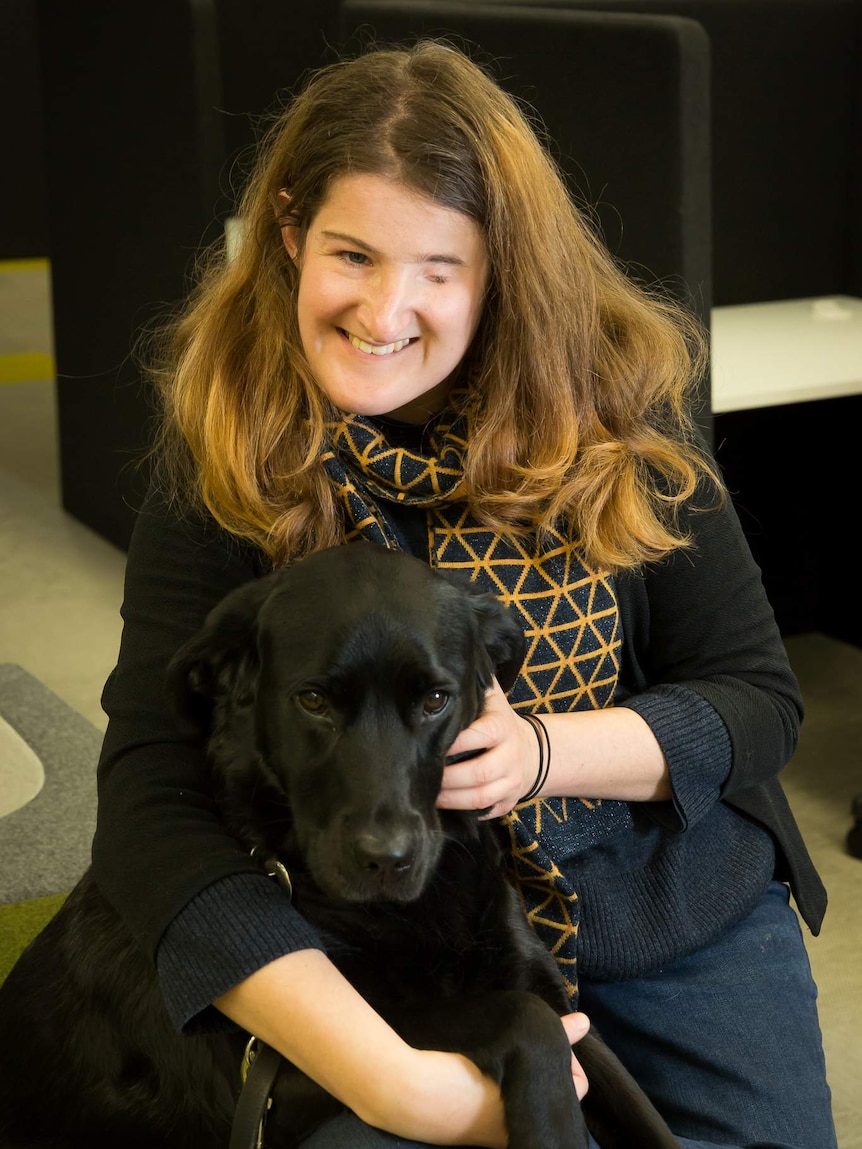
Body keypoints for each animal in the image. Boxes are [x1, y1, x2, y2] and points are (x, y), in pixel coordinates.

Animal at [0, 542, 680, 1144]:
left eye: (436, 700)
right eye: (313, 700)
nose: (387, 860)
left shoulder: (563, 1005)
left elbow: (649, 1116)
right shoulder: (298, 1072)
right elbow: (523, 1018)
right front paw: (554, 1126)